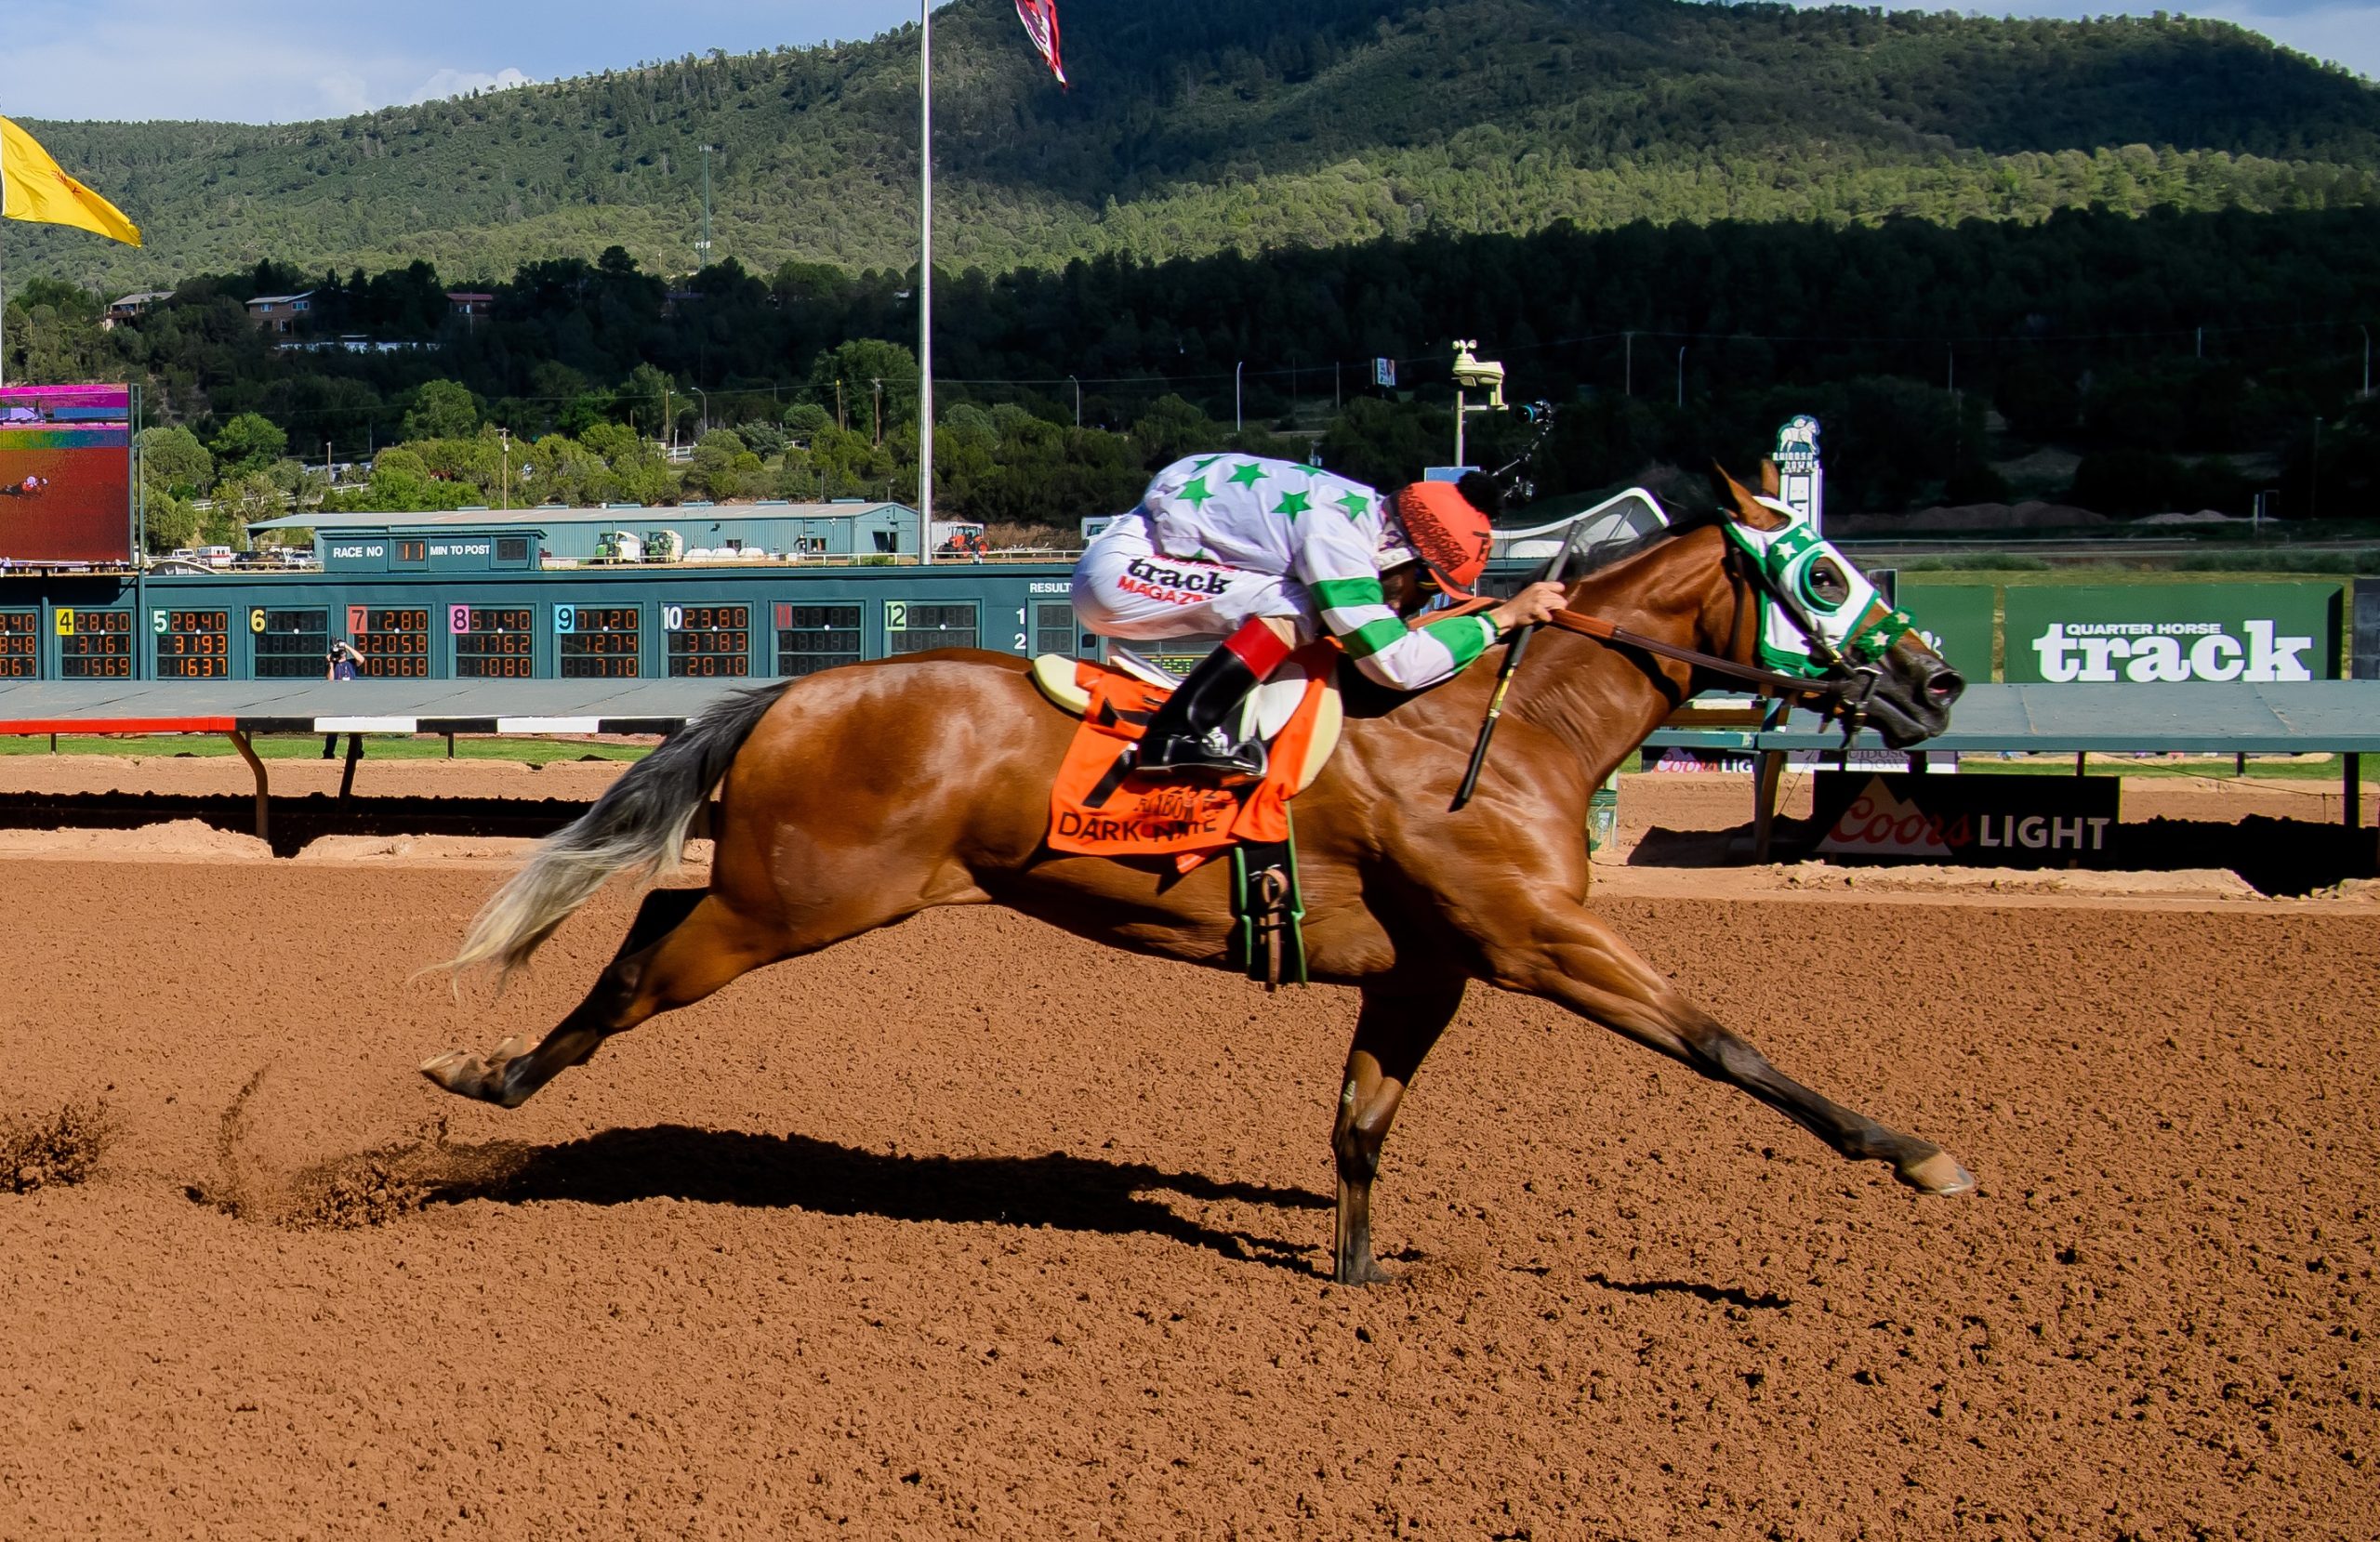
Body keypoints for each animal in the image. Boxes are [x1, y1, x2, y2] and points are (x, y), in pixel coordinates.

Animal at [423, 472, 1972, 1285]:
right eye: (1823, 573)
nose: (1939, 678)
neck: (1505, 724)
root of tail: (798, 690)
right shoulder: (1537, 938)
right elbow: (1726, 1044)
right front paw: (1917, 1151)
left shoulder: (1430, 965)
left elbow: (1360, 1122)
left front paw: (1356, 1266)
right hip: (793, 898)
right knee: (648, 950)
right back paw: (489, 1075)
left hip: (794, 891)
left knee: (651, 917)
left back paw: (494, 1072)